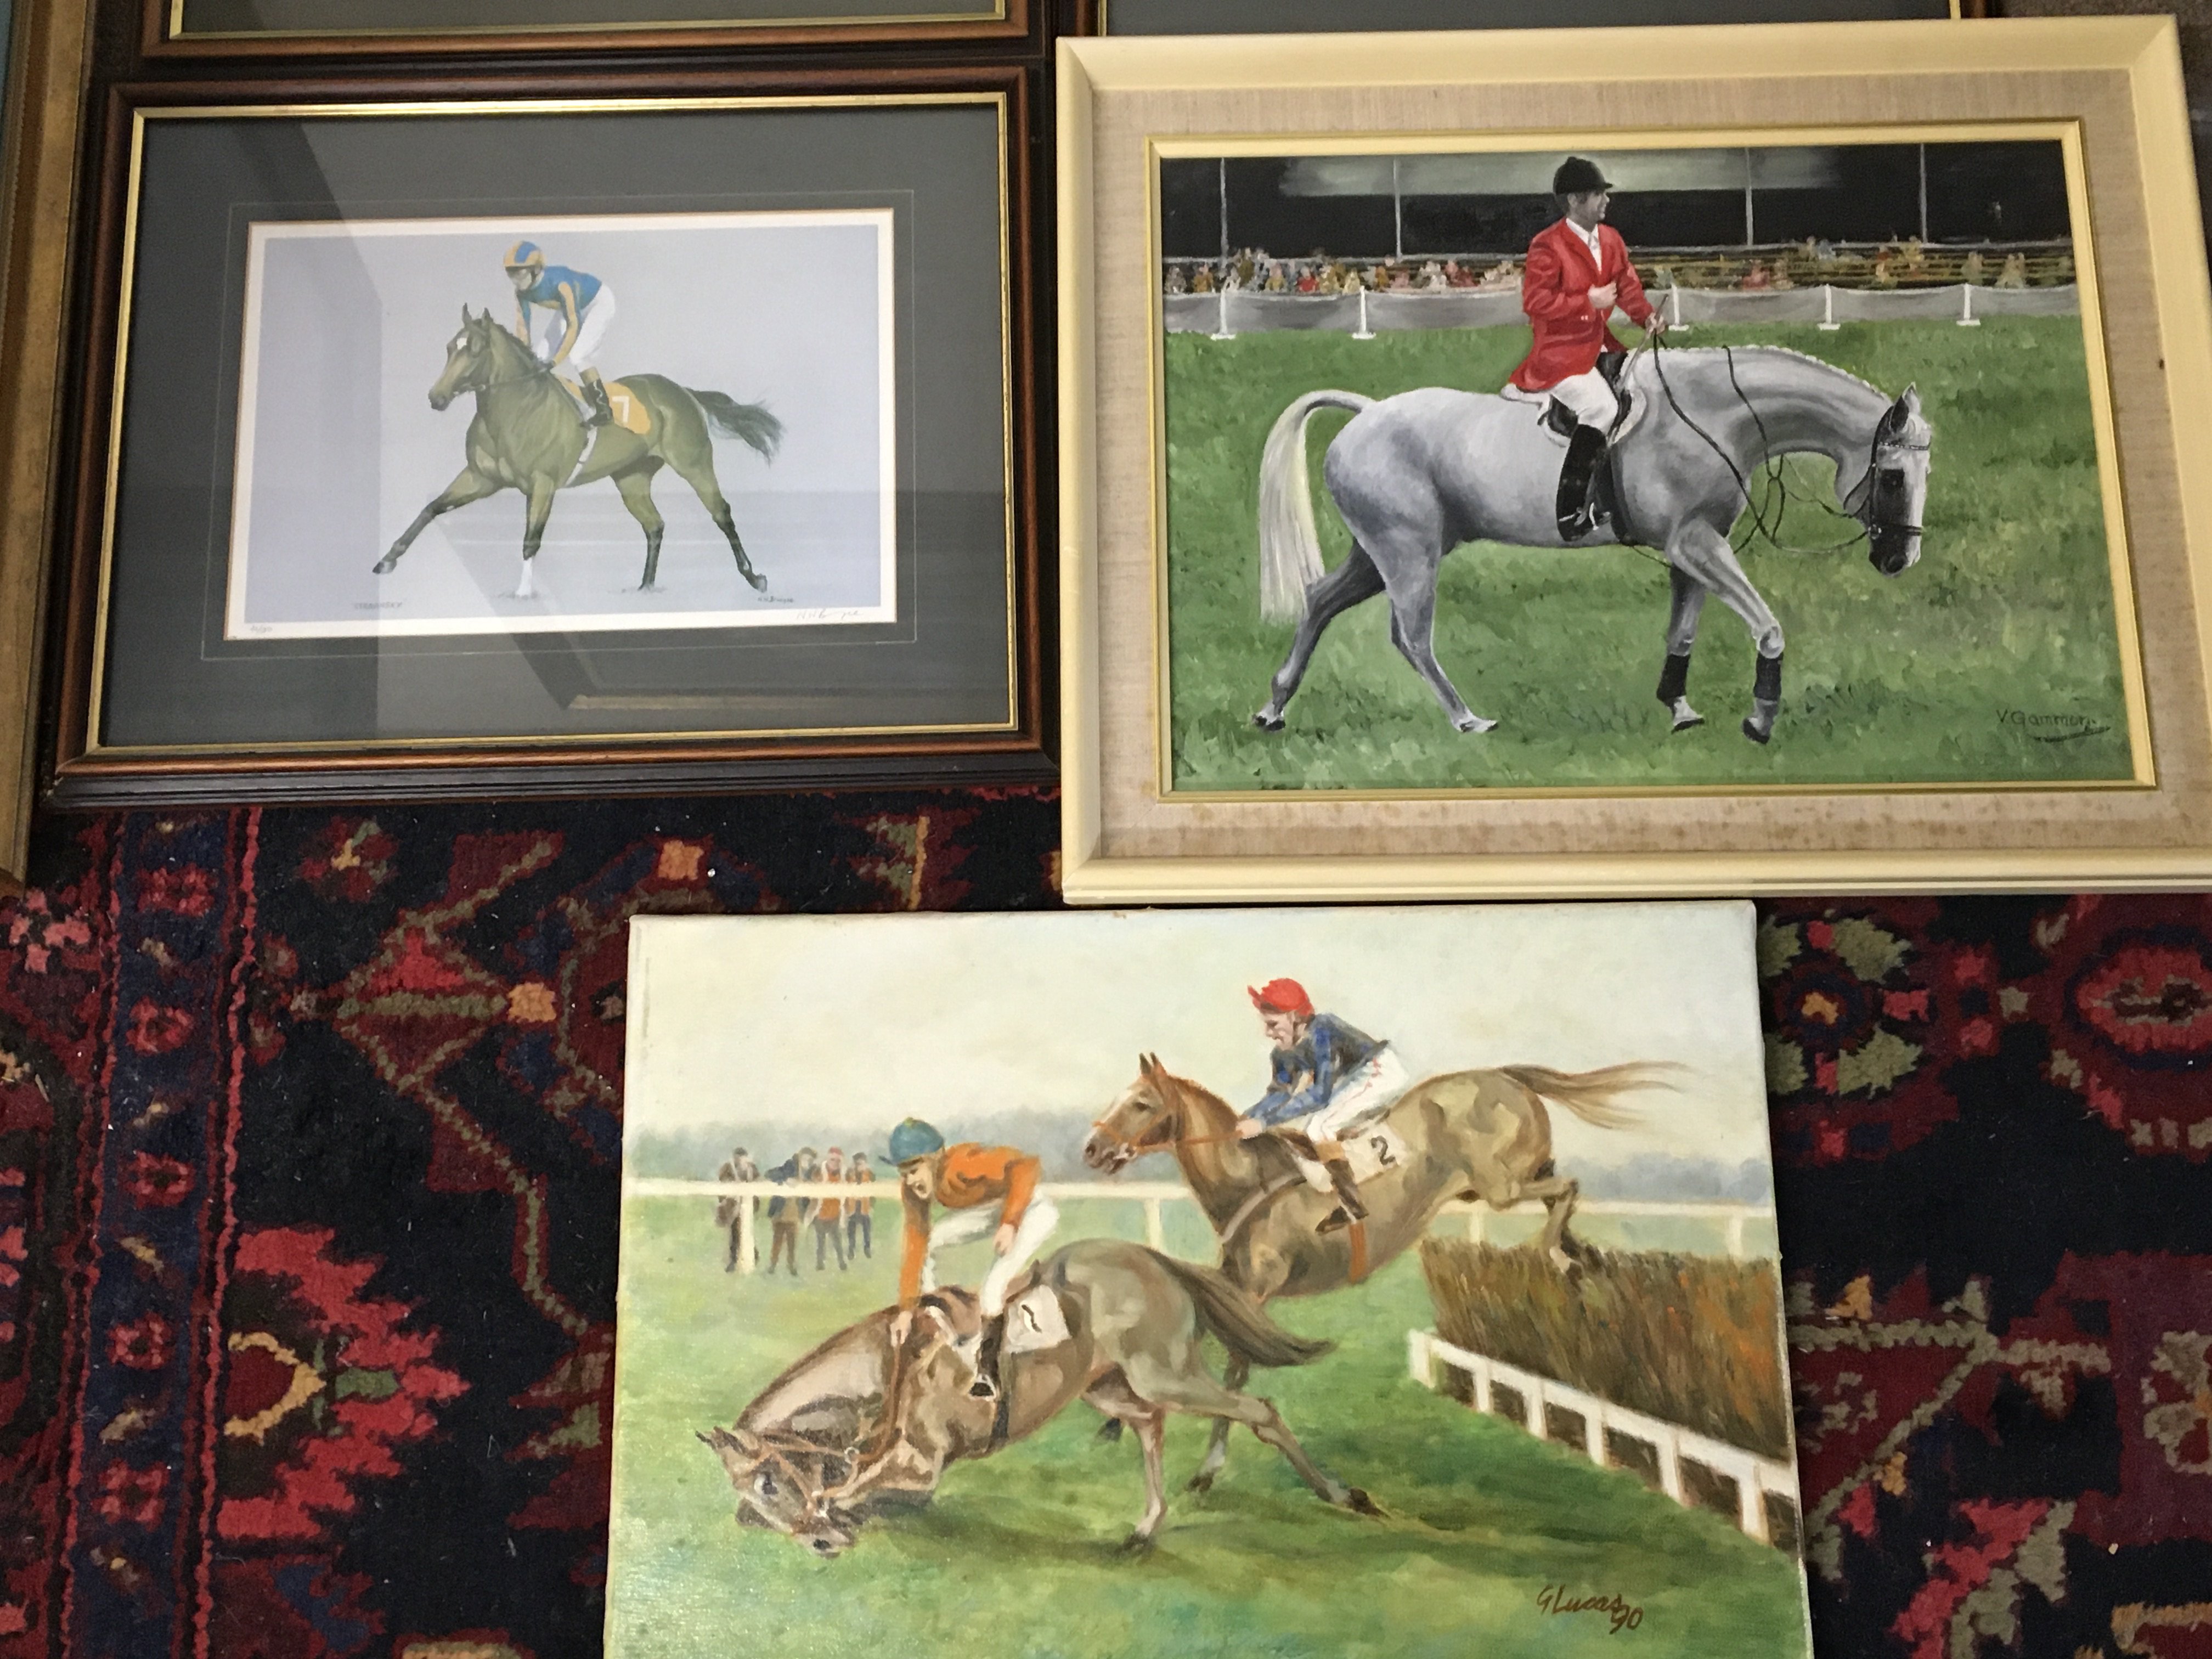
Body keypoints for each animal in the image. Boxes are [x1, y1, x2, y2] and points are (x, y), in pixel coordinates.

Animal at [373, 307, 784, 600]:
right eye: (448, 348)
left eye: (474, 351)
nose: (436, 397)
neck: (515, 410)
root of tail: (682, 390)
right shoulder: (481, 477)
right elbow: (432, 508)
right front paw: (387, 560)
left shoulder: (542, 484)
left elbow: (531, 539)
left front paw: (523, 593)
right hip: (632, 479)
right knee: (654, 526)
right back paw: (645, 588)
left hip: (694, 462)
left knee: (722, 513)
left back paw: (754, 577)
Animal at [703, 1240, 1374, 1556]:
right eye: (755, 1498)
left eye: (767, 1485)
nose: (816, 1546)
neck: (887, 1367)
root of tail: (1158, 1259)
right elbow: (854, 1483)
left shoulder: (922, 1465)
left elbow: (849, 1486)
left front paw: (837, 1510)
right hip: (1109, 1389)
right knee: (1150, 1426)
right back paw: (1144, 1529)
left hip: (1165, 1374)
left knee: (1260, 1412)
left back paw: (1345, 1495)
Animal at [1082, 1054, 1671, 1490]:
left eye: (1140, 1103)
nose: (1092, 1148)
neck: (1249, 1180)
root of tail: (1503, 1075)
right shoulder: (1236, 1290)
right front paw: (1118, 1417)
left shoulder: (1255, 1292)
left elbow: (1230, 1366)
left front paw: (1203, 1468)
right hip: (1507, 1180)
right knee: (1563, 1203)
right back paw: (1583, 1262)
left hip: (1501, 1184)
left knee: (1567, 1191)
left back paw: (1558, 1260)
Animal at [1251, 344, 1933, 744]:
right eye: (1894, 477)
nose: (1898, 559)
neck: (1710, 416)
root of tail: (1367, 413)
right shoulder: (1697, 545)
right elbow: (1767, 628)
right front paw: (1761, 718)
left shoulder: (1693, 549)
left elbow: (1682, 633)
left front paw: (1679, 707)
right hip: (1408, 553)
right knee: (1410, 637)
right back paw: (1467, 719)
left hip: (1382, 553)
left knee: (1320, 601)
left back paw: (1275, 706)